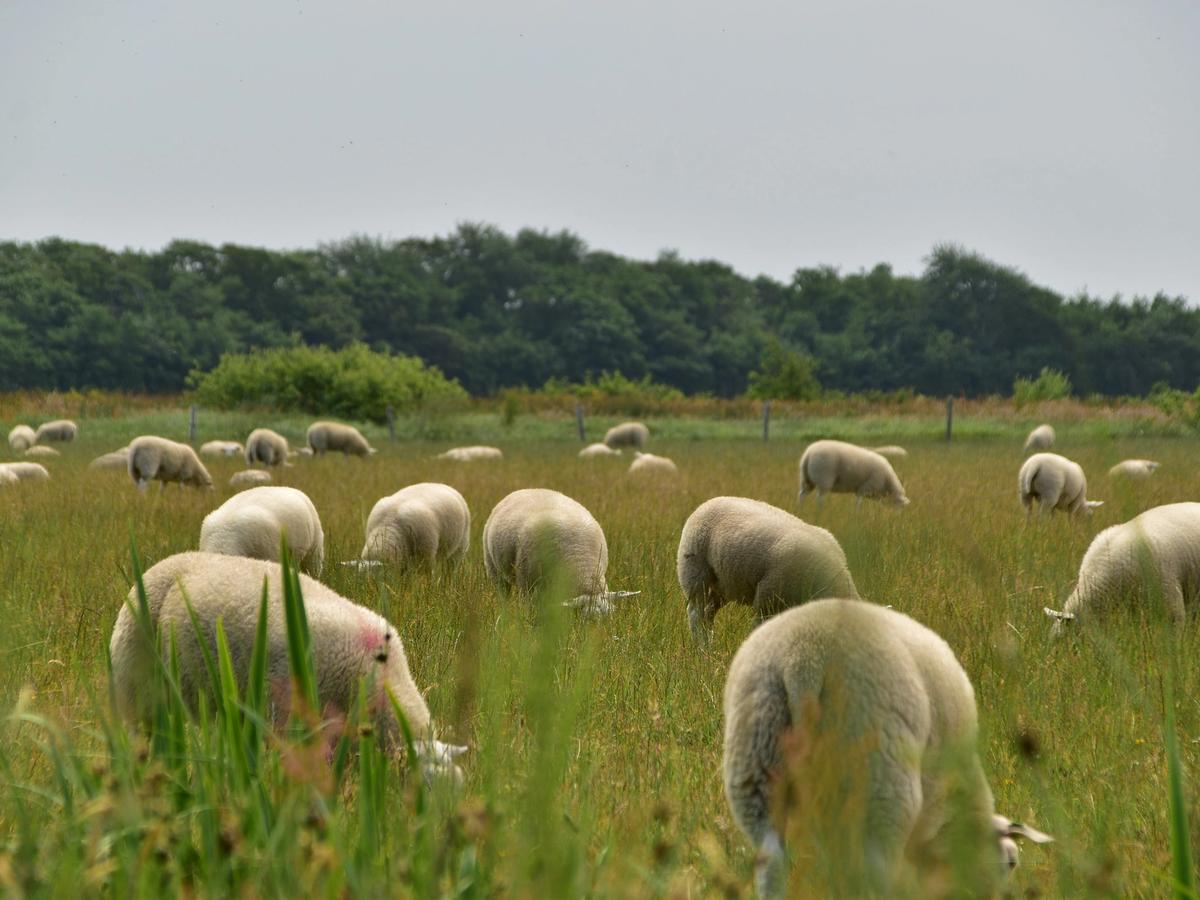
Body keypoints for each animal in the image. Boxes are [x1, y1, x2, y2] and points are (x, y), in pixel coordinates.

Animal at [678, 497, 860, 641]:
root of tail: (708, 502)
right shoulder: (767, 600)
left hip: (723, 584)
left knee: (708, 614)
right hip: (695, 572)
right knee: (695, 614)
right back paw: (701, 649)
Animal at [724, 599, 1050, 898]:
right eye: (1010, 863)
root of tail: (802, 659)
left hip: (757, 760)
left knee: (771, 862)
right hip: (878, 775)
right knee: (876, 868)